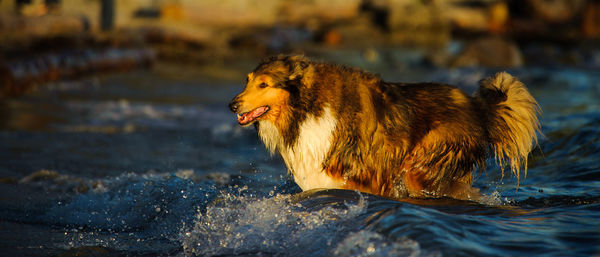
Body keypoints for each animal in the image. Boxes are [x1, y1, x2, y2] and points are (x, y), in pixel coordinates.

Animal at [229, 55, 540, 199]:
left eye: (264, 84)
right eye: (247, 80)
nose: (232, 105)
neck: (306, 107)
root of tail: (477, 106)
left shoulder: (362, 177)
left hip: (421, 166)